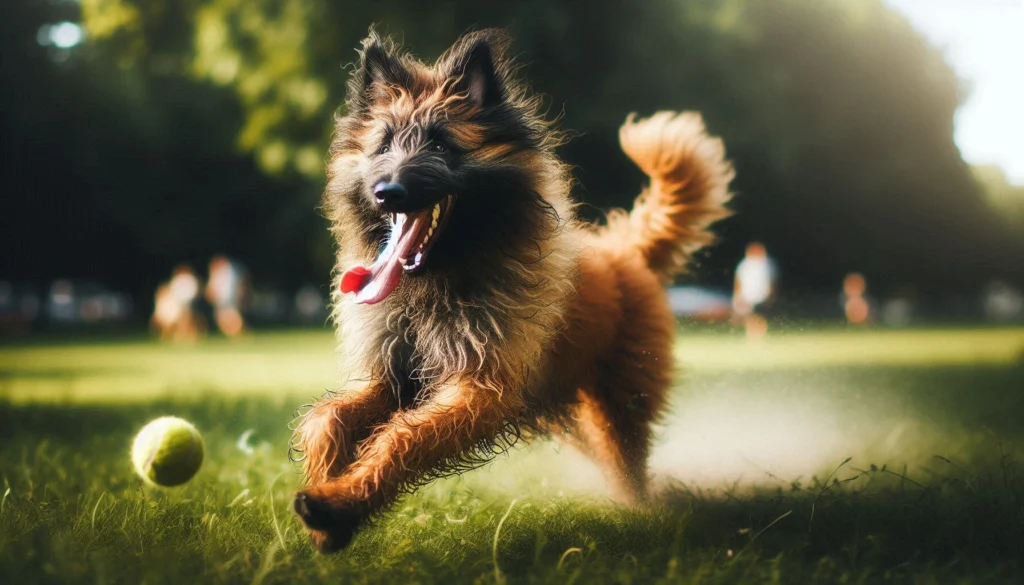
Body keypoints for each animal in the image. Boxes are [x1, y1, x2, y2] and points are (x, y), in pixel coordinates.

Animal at [292, 27, 733, 553]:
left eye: (441, 146)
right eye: (383, 145)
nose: (387, 192)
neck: (437, 286)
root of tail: (623, 249)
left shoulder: (481, 386)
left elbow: (402, 438)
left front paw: (336, 503)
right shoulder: (394, 377)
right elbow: (327, 418)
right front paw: (328, 500)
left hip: (619, 406)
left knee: (628, 462)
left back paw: (643, 507)